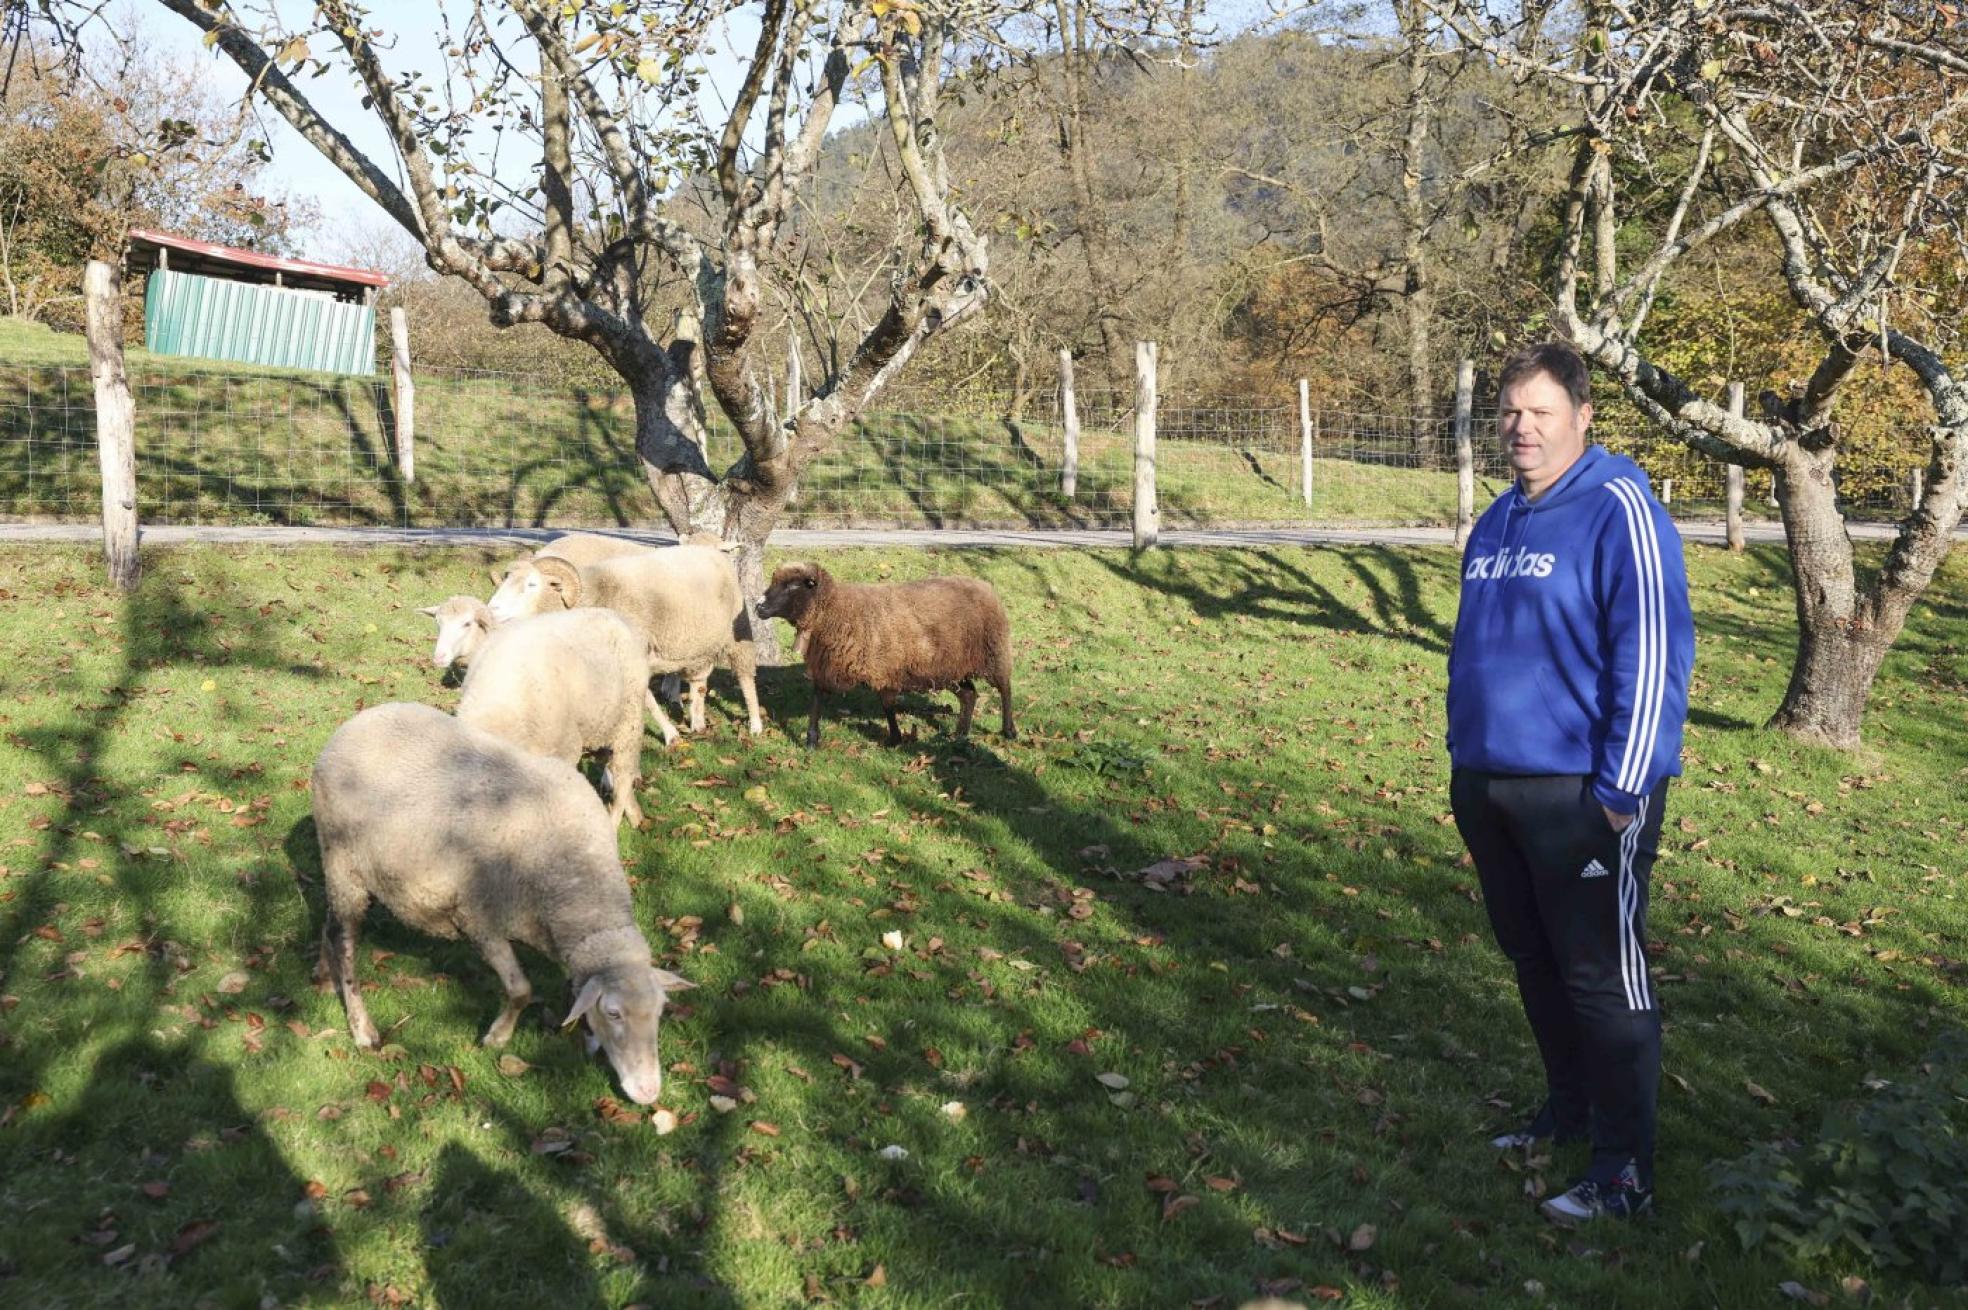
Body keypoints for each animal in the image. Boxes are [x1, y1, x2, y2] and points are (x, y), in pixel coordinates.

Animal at [308, 704, 692, 1101]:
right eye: (614, 1013)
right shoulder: (478, 918)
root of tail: (357, 721)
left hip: (340, 869)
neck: (576, 878)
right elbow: (521, 990)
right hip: (344, 864)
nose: (649, 1091)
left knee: (328, 922)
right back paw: (361, 1028)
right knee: (344, 942)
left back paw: (324, 977)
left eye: (660, 1012)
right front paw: (497, 1037)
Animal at [755, 558, 1023, 743]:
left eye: (792, 586)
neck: (836, 609)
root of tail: (983, 585)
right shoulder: (829, 663)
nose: (758, 607)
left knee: (1005, 687)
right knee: (969, 695)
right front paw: (812, 737)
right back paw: (960, 734)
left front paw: (894, 738)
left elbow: (887, 704)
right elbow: (818, 696)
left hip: (993, 650)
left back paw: (1009, 730)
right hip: (950, 665)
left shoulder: (884, 667)